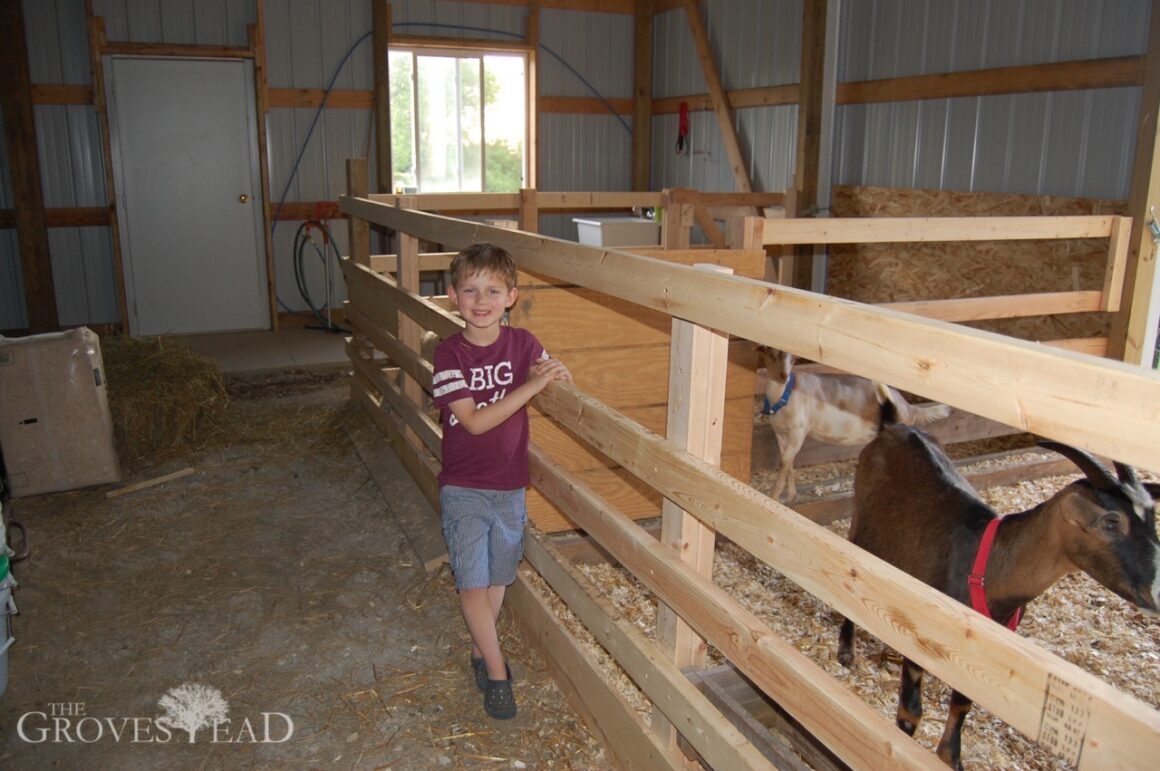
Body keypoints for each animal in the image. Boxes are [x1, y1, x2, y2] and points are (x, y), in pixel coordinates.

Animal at [760, 347, 951, 503]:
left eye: (793, 360)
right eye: (770, 355)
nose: (783, 376)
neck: (784, 396)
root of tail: (909, 408)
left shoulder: (798, 431)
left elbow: (784, 461)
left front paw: (773, 497)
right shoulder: (781, 433)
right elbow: (788, 461)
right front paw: (790, 496)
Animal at [835, 398, 1160, 765]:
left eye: (1152, 517)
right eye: (1111, 522)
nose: (1155, 590)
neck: (986, 566)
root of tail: (892, 426)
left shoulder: (982, 646)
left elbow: (962, 702)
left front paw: (950, 756)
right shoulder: (922, 627)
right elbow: (910, 712)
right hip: (862, 524)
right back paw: (847, 649)